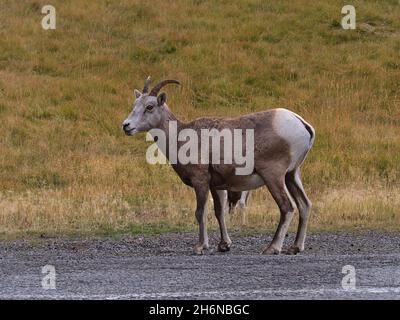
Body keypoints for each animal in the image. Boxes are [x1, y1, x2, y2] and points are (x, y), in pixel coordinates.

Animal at [122, 77, 316, 255]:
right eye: (134, 105)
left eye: (149, 107)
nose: (126, 126)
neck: (181, 138)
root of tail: (302, 124)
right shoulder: (217, 186)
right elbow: (219, 212)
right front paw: (224, 245)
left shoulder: (200, 181)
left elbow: (200, 212)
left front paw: (200, 247)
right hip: (292, 175)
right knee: (304, 205)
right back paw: (295, 247)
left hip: (273, 176)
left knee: (287, 207)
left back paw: (272, 248)